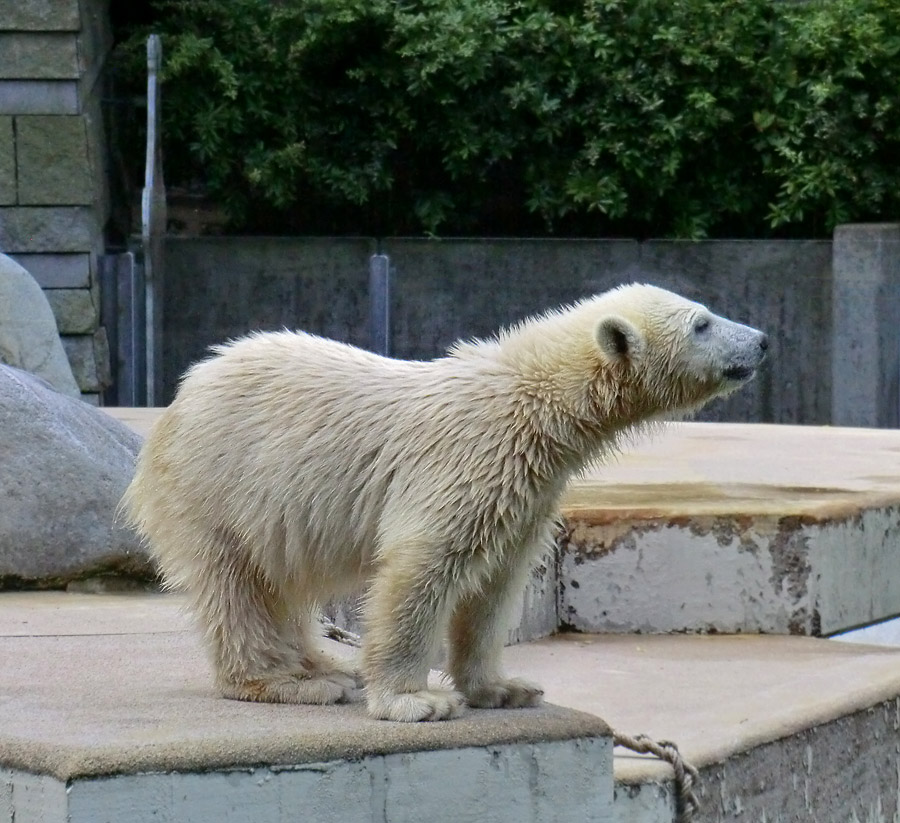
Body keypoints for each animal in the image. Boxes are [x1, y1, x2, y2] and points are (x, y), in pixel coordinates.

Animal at [121, 284, 768, 720]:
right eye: (702, 323)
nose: (762, 340)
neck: (534, 401)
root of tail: (183, 394)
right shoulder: (467, 458)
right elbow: (424, 564)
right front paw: (414, 700)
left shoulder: (528, 489)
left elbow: (496, 585)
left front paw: (504, 689)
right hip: (217, 484)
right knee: (240, 586)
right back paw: (292, 682)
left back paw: (325, 666)